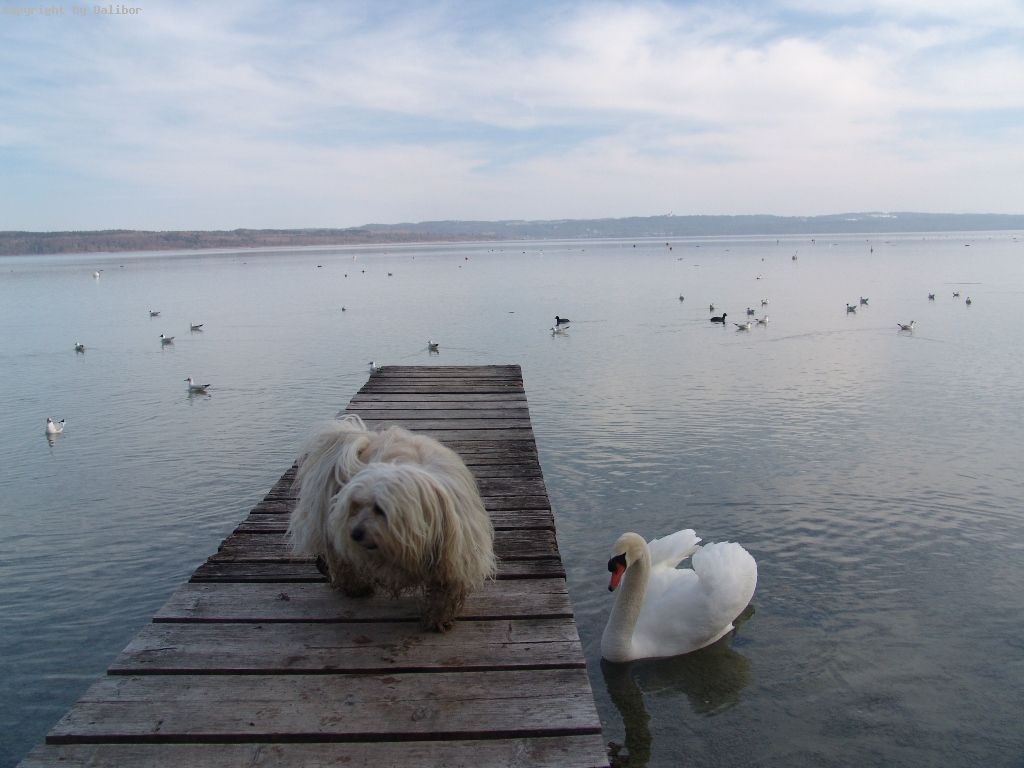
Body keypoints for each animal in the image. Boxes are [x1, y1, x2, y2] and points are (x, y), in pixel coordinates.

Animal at [288, 414, 496, 632]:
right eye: (356, 506)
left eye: (380, 509)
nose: (355, 533)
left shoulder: (454, 556)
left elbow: (445, 590)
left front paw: (437, 618)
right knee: (339, 559)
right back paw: (355, 586)